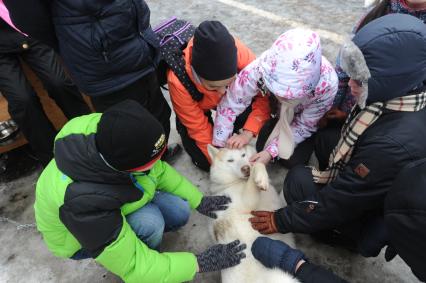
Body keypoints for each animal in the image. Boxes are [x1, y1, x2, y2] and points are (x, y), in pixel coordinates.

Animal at [208, 145, 298, 283]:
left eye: (243, 155)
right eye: (230, 160)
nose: (245, 168)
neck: (236, 182)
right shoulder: (247, 202)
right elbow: (258, 164)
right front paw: (260, 178)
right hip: (282, 277)